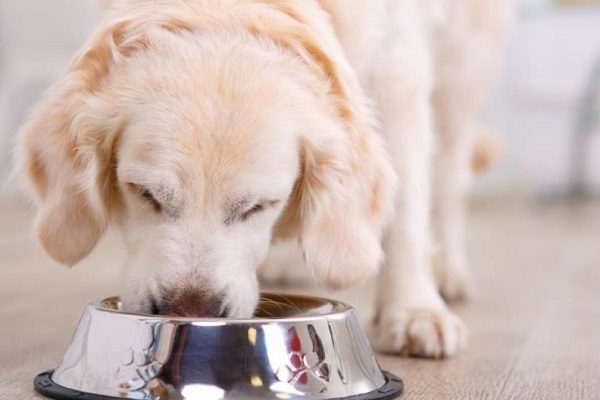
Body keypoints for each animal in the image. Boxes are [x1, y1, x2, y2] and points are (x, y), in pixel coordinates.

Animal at [14, 0, 510, 356]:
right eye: (145, 194)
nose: (190, 312)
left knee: (450, 176)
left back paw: (449, 272)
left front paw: (413, 310)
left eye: (259, 206)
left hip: (462, 66)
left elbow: (406, 210)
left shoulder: (399, 73)